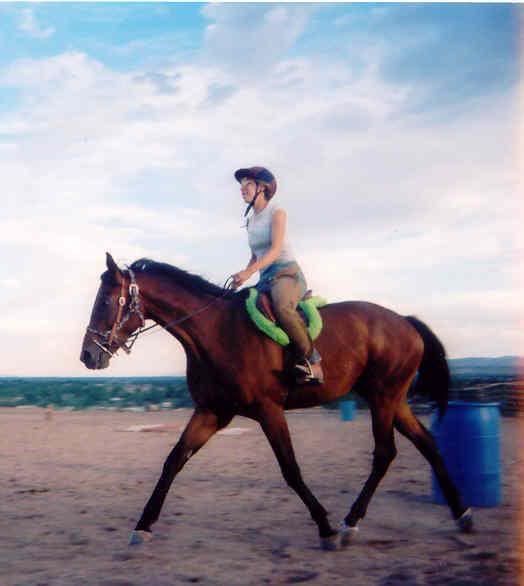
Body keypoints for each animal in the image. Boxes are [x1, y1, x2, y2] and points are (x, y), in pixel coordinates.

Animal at [80, 251, 472, 548]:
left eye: (105, 300)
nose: (88, 355)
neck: (216, 332)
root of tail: (405, 321)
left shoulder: (269, 411)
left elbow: (291, 470)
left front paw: (325, 527)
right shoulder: (212, 412)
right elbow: (173, 460)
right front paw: (142, 526)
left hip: (383, 398)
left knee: (385, 453)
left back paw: (350, 521)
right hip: (393, 400)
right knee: (428, 443)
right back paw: (462, 514)